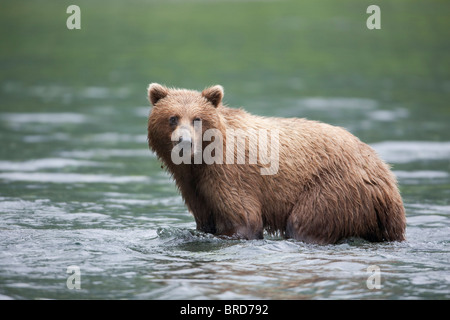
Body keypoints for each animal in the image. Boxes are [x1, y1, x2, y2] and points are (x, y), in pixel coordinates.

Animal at [149, 84, 408, 244]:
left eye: (197, 119)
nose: (184, 141)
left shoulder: (229, 173)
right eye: (172, 118)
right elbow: (205, 219)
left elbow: (244, 220)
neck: (200, 161)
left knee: (304, 222)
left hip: (335, 189)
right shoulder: (193, 185)